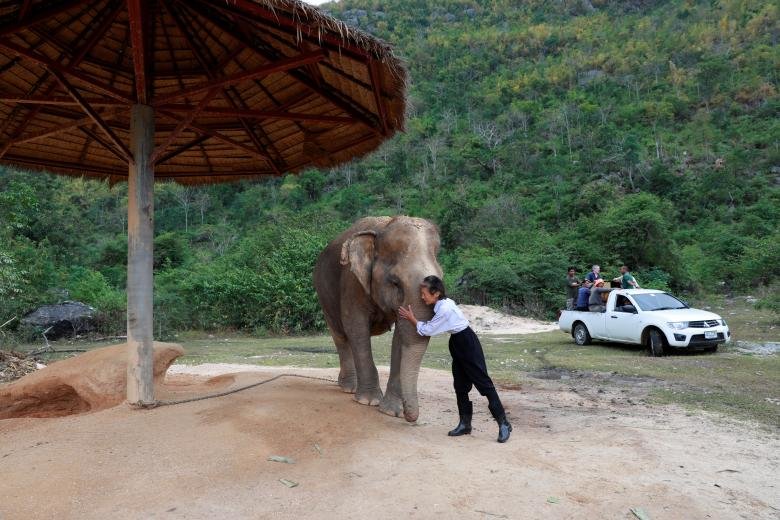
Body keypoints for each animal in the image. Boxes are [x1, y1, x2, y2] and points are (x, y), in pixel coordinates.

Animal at [314, 215, 442, 422]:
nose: (409, 416)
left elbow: (400, 336)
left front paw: (391, 411)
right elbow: (356, 328)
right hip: (323, 293)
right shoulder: (352, 282)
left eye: (440, 279)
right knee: (341, 336)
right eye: (395, 282)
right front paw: (368, 402)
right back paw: (349, 388)